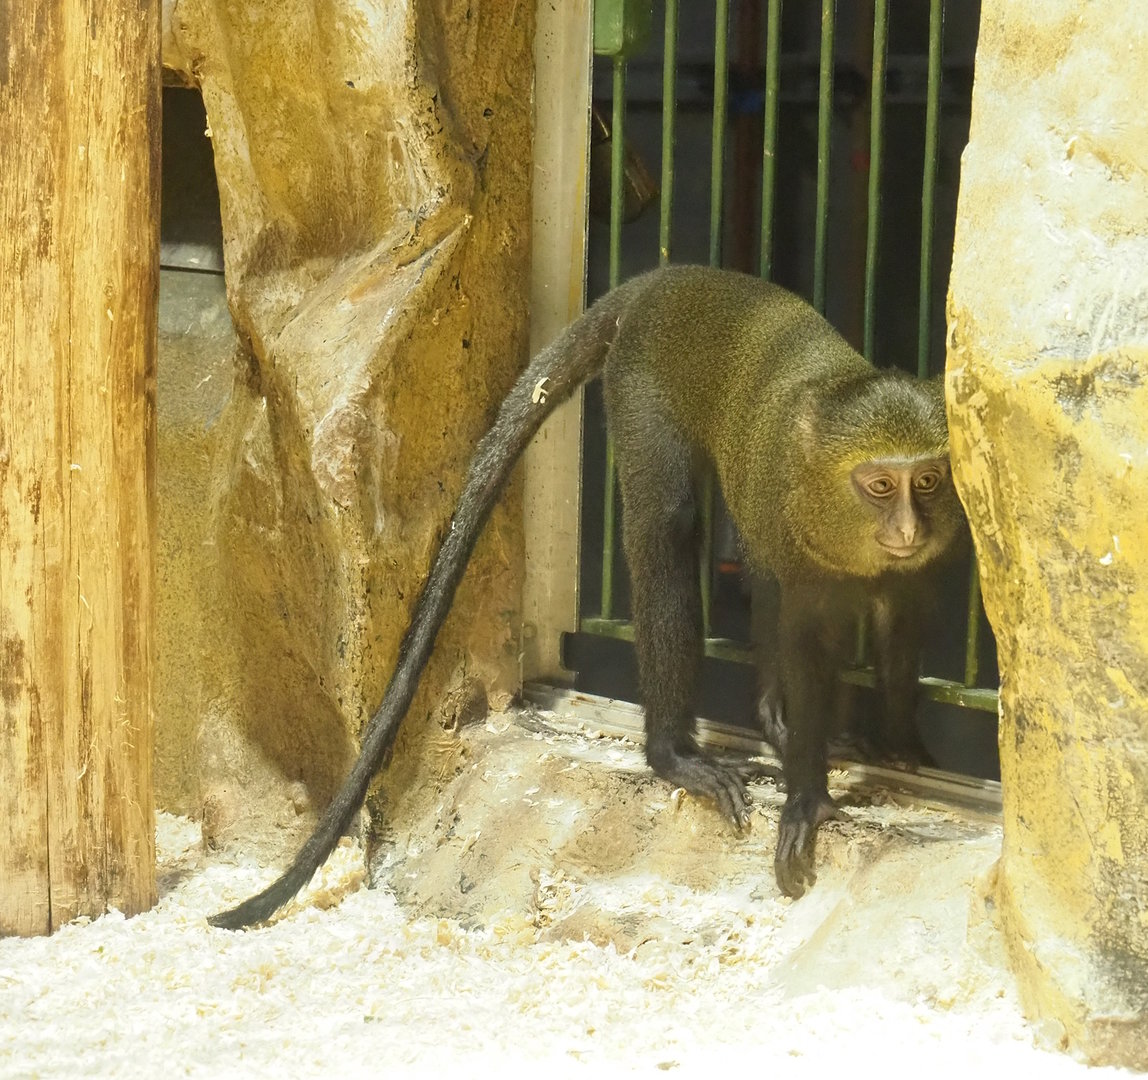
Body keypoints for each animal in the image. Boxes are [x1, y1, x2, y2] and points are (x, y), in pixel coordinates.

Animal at [209, 264, 966, 929]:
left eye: (927, 482)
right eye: (880, 485)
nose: (907, 528)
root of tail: (673, 276)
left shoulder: (912, 567)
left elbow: (901, 623)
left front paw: (900, 744)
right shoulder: (805, 552)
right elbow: (807, 646)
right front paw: (808, 795)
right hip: (640, 386)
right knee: (666, 529)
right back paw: (675, 754)